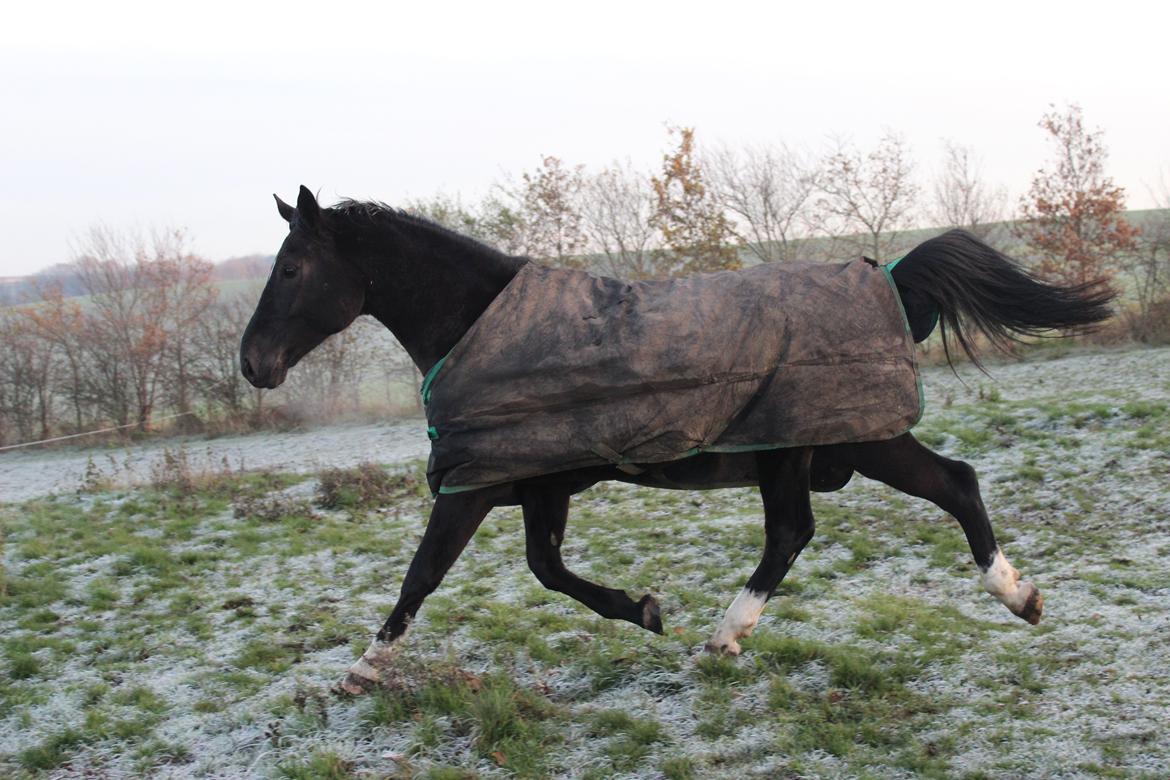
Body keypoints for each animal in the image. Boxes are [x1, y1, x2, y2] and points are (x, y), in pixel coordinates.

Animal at [239, 184, 1113, 696]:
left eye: (292, 268)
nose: (252, 363)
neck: (478, 321)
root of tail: (888, 276)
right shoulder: (539, 482)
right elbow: (546, 570)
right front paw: (644, 609)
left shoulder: (474, 485)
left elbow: (423, 576)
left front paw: (362, 669)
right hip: (856, 438)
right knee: (953, 484)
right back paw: (1021, 598)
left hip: (802, 445)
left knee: (795, 532)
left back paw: (722, 641)